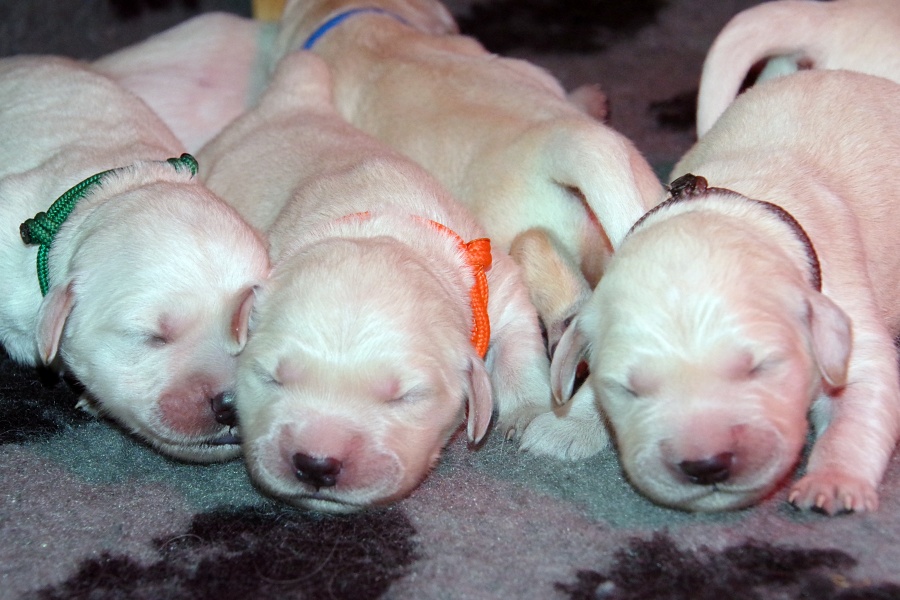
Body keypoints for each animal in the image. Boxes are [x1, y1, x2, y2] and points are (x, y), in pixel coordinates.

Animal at [197, 50, 548, 510]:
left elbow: (520, 340)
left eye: (404, 396)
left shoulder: (492, 280)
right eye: (271, 377)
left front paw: (530, 412)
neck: (381, 231)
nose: (316, 464)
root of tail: (290, 99)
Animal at [552, 68, 900, 512]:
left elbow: (860, 400)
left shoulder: (848, 318)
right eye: (628, 389)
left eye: (761, 367)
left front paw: (833, 482)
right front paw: (569, 424)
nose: (706, 466)